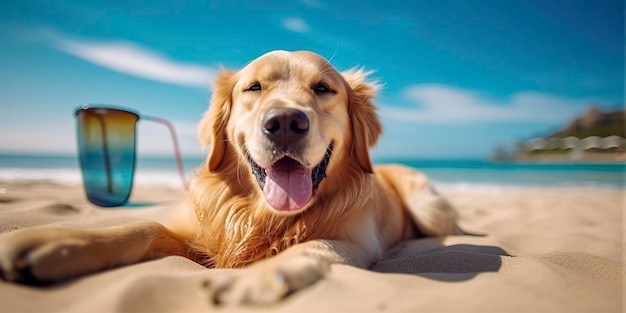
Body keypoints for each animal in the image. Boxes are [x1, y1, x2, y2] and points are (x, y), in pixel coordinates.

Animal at [0, 50, 458, 304]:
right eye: (253, 88)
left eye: (324, 89)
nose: (285, 122)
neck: (260, 214)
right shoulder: (200, 231)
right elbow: (145, 226)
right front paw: (53, 242)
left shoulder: (353, 240)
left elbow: (309, 247)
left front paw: (252, 277)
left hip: (428, 207)